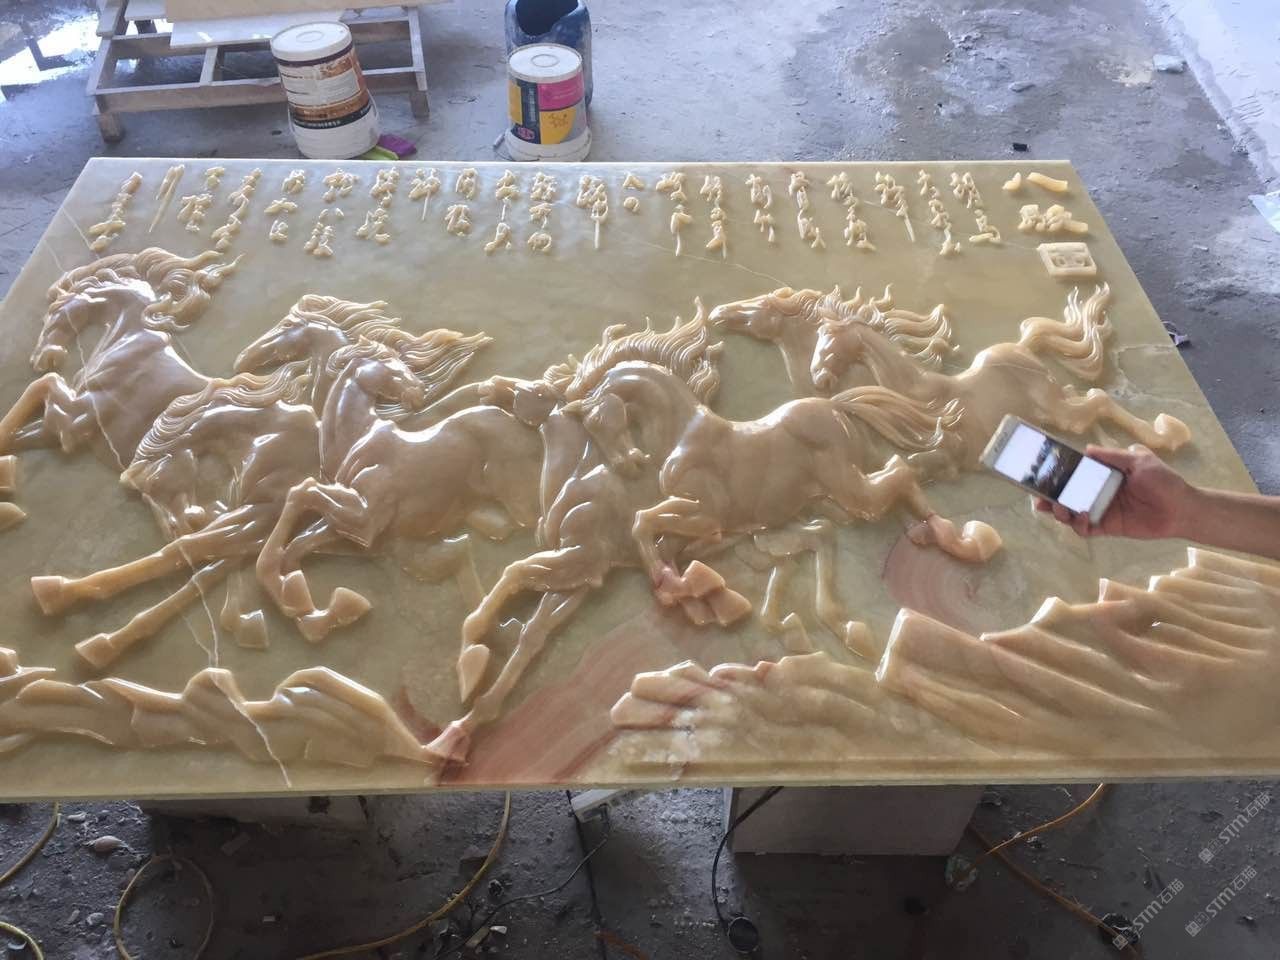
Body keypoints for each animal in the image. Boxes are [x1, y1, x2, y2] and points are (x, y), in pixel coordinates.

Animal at [809, 283, 1191, 475]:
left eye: (827, 337)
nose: (818, 378)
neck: (921, 395)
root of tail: (1021, 347)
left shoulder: (951, 448)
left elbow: (918, 463)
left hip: (1056, 409)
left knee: (1098, 399)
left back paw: (1165, 434)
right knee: (1087, 398)